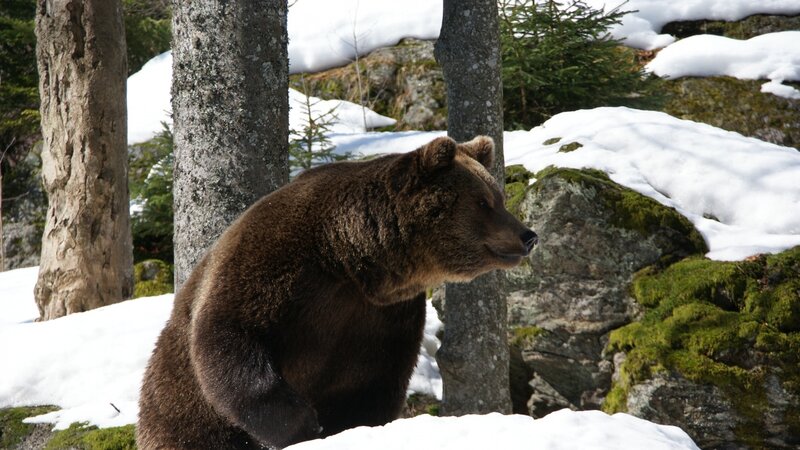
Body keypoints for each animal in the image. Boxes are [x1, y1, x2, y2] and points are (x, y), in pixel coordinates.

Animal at [136, 135, 538, 449]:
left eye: (498, 197)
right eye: (483, 202)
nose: (528, 235)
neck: (349, 259)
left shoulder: (380, 316)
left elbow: (372, 383)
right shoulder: (274, 264)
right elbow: (229, 335)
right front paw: (303, 423)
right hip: (176, 403)